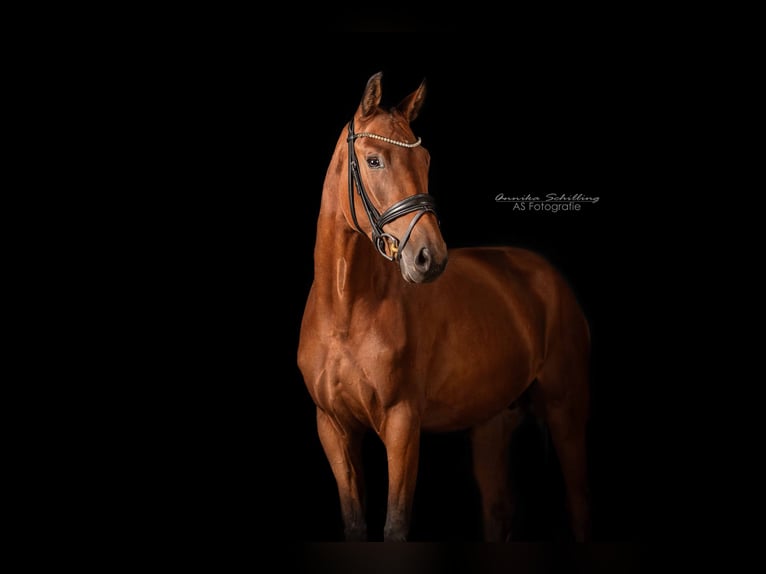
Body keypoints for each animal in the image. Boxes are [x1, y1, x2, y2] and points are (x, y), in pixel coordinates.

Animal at [296, 72, 592, 544]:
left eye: (426, 160)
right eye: (374, 161)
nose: (428, 257)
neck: (346, 311)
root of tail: (548, 277)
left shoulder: (402, 425)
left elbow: (396, 525)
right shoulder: (334, 428)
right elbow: (355, 523)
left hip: (567, 409)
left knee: (579, 506)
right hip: (492, 423)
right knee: (498, 512)